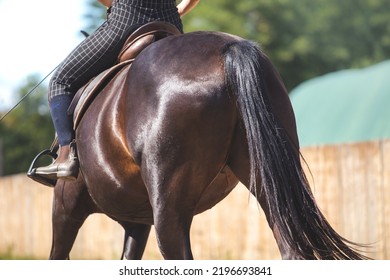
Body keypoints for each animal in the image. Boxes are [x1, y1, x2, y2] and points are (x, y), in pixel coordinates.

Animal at [47, 29, 368, 260]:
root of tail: (228, 50)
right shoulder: (137, 221)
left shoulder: (67, 201)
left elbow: (59, 253)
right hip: (267, 183)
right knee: (291, 248)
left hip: (168, 204)